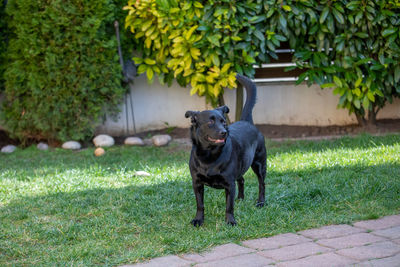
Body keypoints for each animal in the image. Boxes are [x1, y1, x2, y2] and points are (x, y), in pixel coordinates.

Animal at [186, 74, 268, 226]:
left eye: (223, 122)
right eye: (210, 122)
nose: (224, 132)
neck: (209, 156)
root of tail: (246, 121)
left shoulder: (229, 184)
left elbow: (229, 206)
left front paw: (230, 221)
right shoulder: (197, 184)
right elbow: (200, 204)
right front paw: (198, 220)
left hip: (259, 164)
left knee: (262, 184)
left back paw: (261, 202)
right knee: (242, 180)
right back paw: (240, 198)